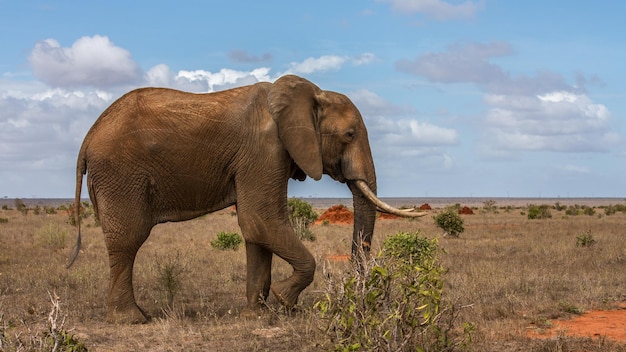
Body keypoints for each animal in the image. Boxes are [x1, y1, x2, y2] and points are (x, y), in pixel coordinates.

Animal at [68, 75, 426, 324]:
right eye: (350, 135)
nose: (359, 291)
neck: (309, 94)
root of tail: (86, 139)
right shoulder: (265, 149)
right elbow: (261, 220)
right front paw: (284, 299)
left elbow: (256, 232)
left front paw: (257, 314)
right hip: (119, 175)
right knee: (128, 241)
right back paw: (133, 320)